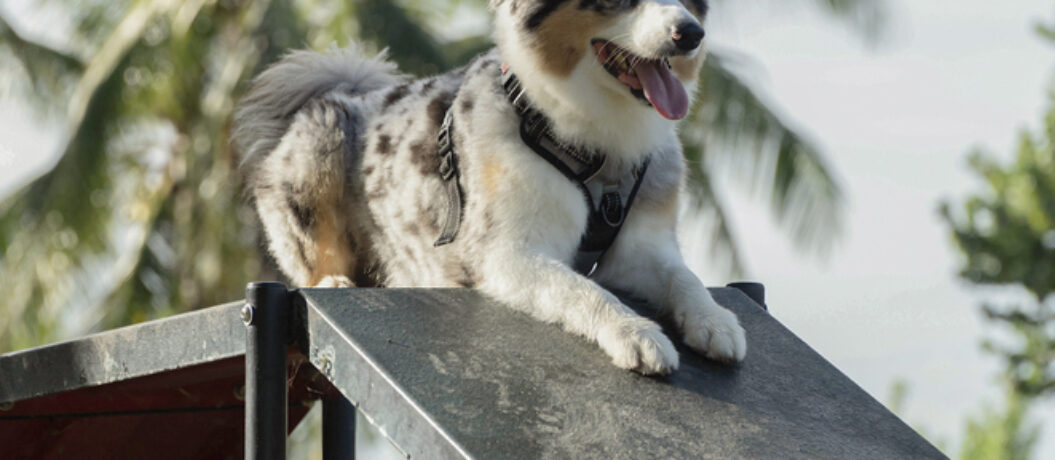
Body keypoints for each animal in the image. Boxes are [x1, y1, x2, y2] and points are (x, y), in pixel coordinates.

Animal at [233, 0, 742, 373]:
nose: (690, 34)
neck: (598, 143)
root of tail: (344, 91)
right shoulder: (507, 253)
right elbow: (584, 291)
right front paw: (637, 333)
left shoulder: (641, 247)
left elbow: (683, 277)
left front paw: (715, 320)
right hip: (322, 141)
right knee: (312, 261)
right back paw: (334, 281)